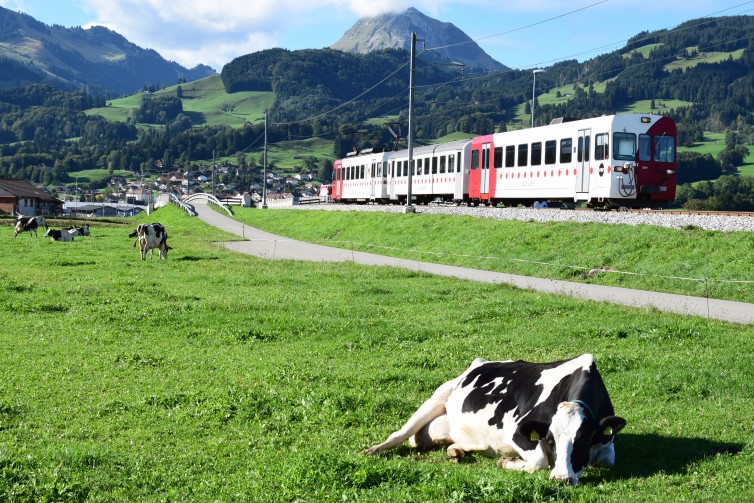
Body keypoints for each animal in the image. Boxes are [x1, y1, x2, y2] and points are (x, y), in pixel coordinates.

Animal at [364, 354, 624, 488]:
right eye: (550, 440)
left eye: (582, 439)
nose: (562, 479)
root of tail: (480, 362)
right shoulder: (518, 432)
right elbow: (539, 460)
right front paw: (506, 462)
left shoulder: (607, 441)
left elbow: (608, 460)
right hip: (437, 396)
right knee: (400, 434)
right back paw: (373, 450)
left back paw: (456, 451)